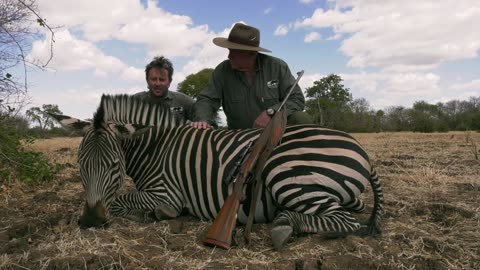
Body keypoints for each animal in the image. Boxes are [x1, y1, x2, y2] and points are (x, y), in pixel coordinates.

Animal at [53, 94, 382, 250]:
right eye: (80, 164)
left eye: (114, 164)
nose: (90, 221)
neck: (155, 147)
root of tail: (363, 153)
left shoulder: (166, 192)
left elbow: (124, 200)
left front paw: (158, 214)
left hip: (287, 176)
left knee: (346, 221)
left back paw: (285, 224)